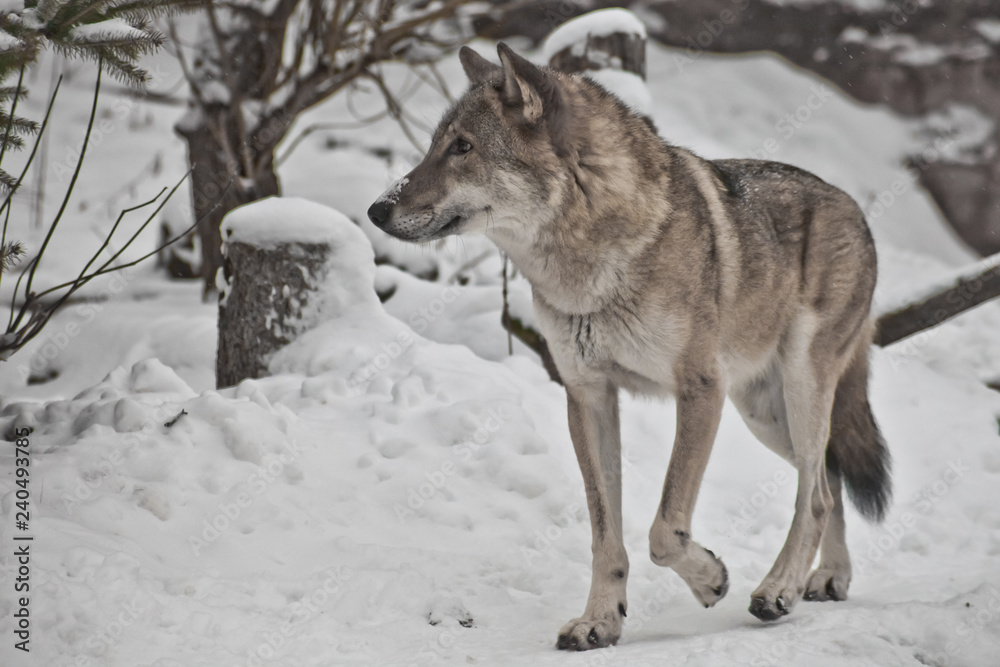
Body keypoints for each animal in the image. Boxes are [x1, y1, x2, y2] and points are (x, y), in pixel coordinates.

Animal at [367, 43, 891, 651]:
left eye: (462, 148)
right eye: (435, 144)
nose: (376, 209)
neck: (588, 267)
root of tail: (854, 207)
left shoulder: (699, 391)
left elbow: (664, 530)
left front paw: (711, 580)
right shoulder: (589, 396)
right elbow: (605, 535)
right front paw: (600, 620)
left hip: (797, 390)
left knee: (816, 493)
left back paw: (778, 589)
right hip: (763, 413)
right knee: (830, 478)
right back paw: (828, 577)